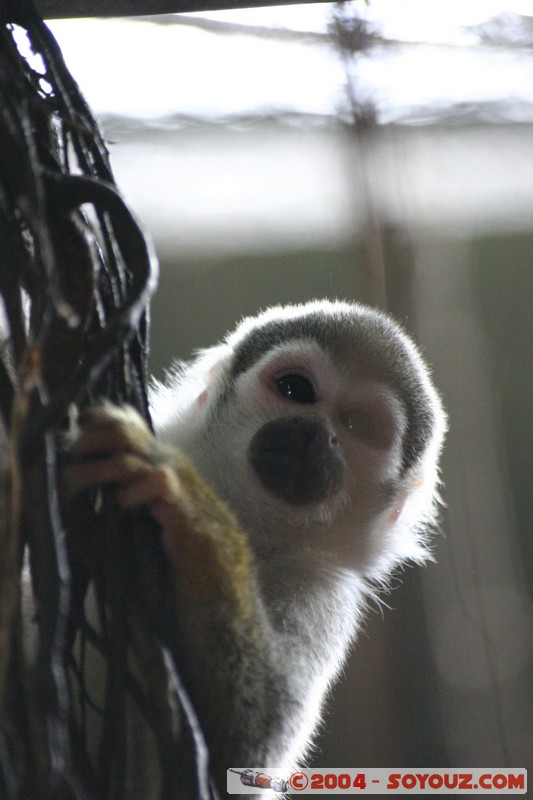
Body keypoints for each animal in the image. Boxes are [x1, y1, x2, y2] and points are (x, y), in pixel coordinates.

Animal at [62, 298, 446, 797]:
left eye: (359, 426)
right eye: (295, 389)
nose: (315, 432)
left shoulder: (324, 594)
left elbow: (244, 744)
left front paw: (193, 509)